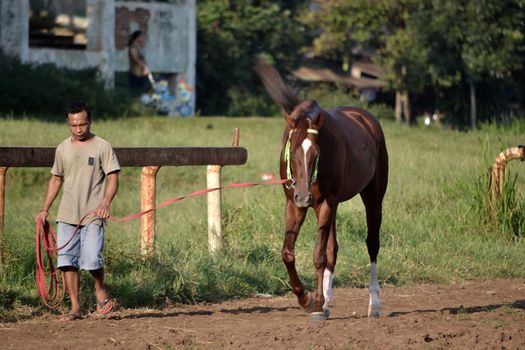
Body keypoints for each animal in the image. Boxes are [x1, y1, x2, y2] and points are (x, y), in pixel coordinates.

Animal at [256, 60, 386, 320]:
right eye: (292, 150)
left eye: (317, 153)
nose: (304, 195)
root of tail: (367, 119)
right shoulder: (294, 205)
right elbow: (288, 253)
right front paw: (306, 299)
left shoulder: (325, 203)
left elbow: (318, 256)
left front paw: (314, 303)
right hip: (329, 206)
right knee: (333, 249)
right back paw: (325, 301)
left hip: (372, 197)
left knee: (372, 243)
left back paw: (374, 304)